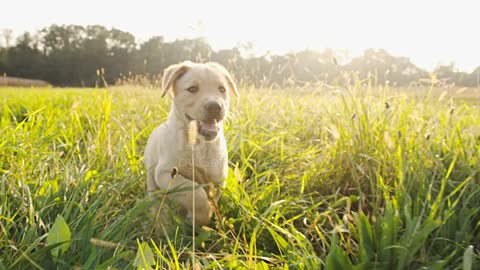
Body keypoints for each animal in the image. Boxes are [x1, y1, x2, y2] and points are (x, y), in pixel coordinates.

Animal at [144, 61, 238, 232]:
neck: (199, 145)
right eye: (192, 89)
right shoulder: (165, 173)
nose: (215, 106)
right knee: (153, 194)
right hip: (150, 171)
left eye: (222, 89)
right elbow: (195, 193)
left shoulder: (218, 179)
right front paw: (200, 218)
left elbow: (210, 197)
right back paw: (159, 220)